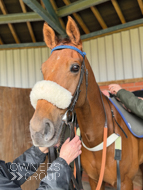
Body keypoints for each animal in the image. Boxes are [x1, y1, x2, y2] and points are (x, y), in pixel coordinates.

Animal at [29, 15, 143, 189]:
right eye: (43, 69)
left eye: (75, 67)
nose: (38, 130)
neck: (99, 138)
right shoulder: (94, 180)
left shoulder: (125, 182)